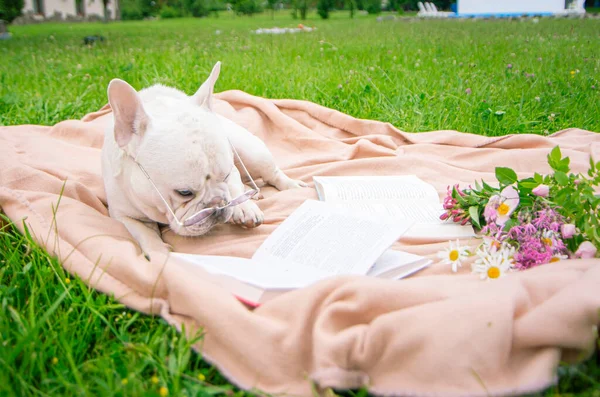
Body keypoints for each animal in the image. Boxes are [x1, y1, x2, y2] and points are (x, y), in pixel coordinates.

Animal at [102, 61, 304, 260]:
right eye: (184, 192)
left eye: (225, 176)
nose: (218, 204)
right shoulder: (123, 215)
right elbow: (144, 233)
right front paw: (158, 252)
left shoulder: (233, 170)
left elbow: (235, 185)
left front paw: (244, 207)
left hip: (252, 152)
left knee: (271, 173)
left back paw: (291, 185)